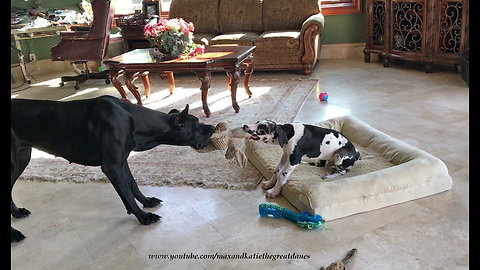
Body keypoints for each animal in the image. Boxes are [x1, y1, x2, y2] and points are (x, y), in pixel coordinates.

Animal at [10, 95, 214, 243]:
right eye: (196, 123)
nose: (212, 127)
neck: (133, 120)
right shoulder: (112, 167)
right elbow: (127, 193)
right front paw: (143, 217)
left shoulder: (122, 161)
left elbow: (132, 185)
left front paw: (147, 202)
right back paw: (14, 234)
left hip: (22, 158)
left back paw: (17, 213)